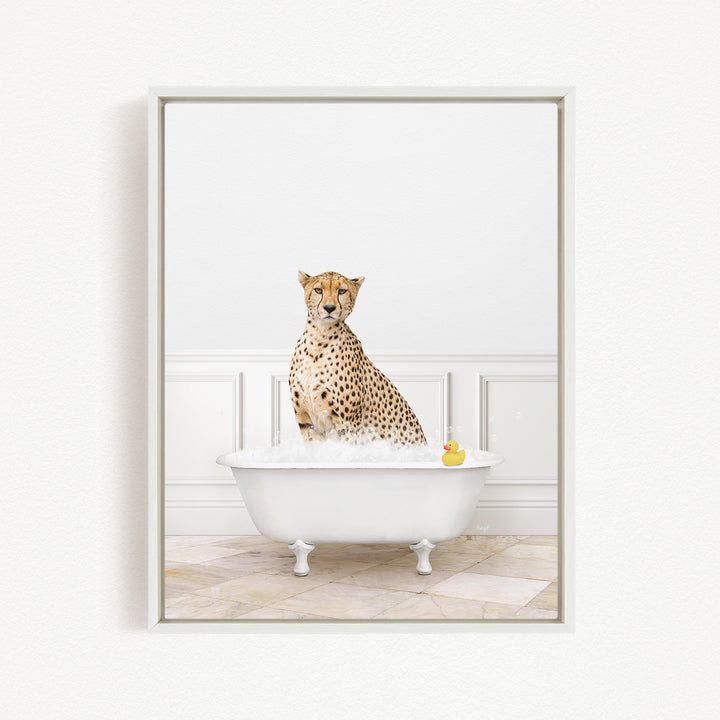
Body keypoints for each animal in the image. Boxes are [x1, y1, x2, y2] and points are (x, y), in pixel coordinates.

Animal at [289, 270, 427, 446]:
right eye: (318, 290)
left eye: (342, 291)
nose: (329, 308)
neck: (319, 337)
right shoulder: (306, 423)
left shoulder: (348, 424)